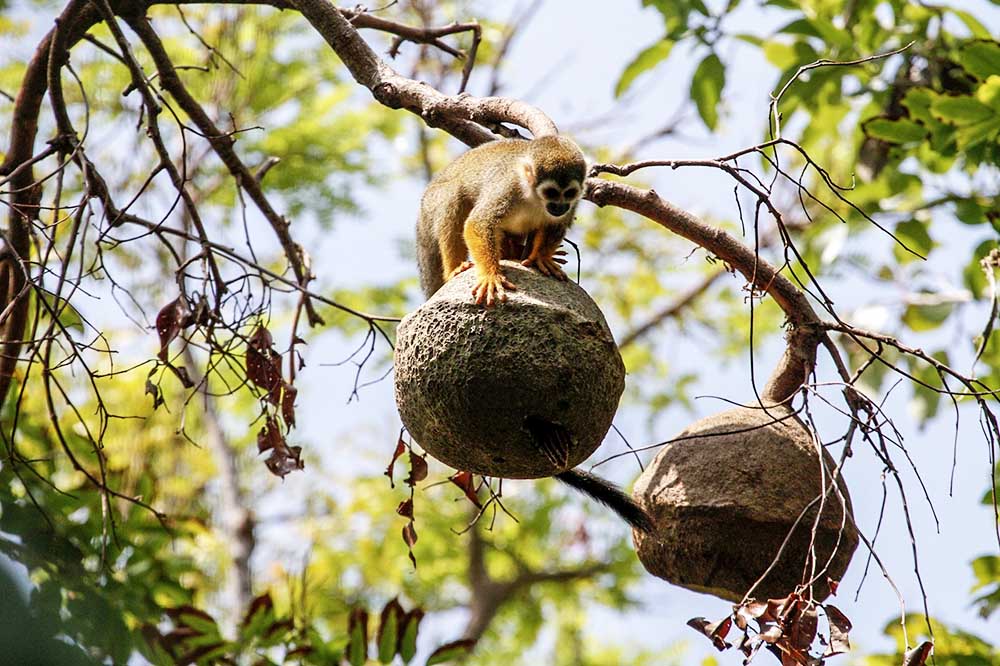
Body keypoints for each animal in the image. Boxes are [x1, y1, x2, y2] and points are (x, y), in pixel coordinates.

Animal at [416, 136, 584, 306]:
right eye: (551, 192)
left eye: (570, 193)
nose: (560, 207)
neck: (534, 197)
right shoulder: (507, 187)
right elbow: (479, 222)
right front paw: (490, 275)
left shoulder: (573, 203)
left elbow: (556, 224)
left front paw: (541, 257)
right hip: (431, 203)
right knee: (453, 195)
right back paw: (455, 268)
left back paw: (514, 251)